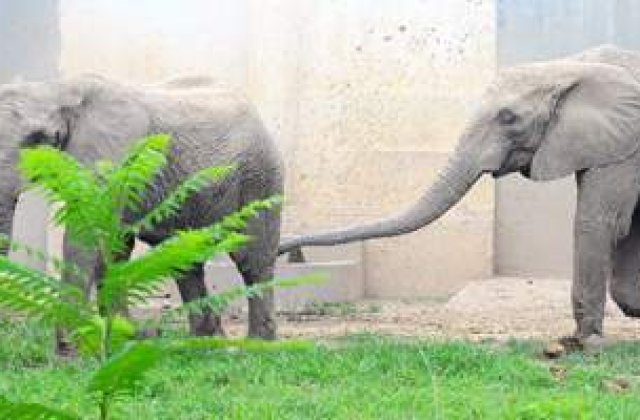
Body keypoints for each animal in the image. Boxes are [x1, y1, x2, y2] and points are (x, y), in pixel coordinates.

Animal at [0, 74, 284, 350]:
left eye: (35, 139)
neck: (57, 87)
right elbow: (115, 247)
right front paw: (122, 336)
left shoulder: (115, 157)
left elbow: (87, 237)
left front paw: (72, 347)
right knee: (185, 262)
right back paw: (204, 341)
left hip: (260, 177)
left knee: (251, 259)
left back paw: (257, 343)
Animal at [279, 44, 640, 347]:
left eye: (508, 117)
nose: (287, 250)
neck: (569, 66)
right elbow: (624, 228)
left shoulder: (626, 144)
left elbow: (601, 223)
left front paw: (585, 343)